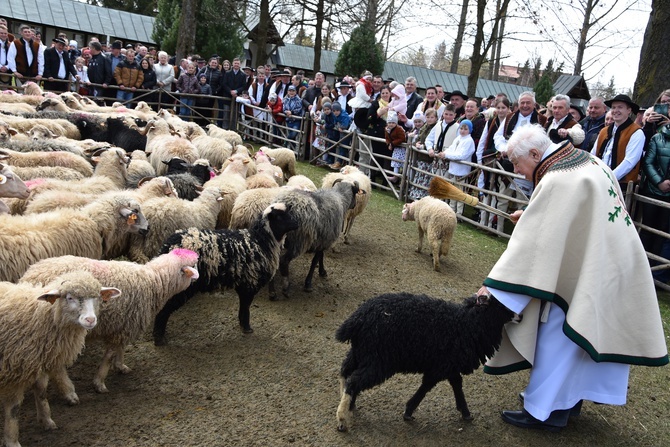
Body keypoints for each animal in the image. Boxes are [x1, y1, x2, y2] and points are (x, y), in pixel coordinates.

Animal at [0, 272, 119, 447]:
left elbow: (41, 391)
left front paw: (46, 421)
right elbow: (13, 409)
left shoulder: (39, 362)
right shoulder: (15, 372)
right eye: (69, 298)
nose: (90, 320)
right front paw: (11, 441)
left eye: (98, 297)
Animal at [20, 252, 200, 396]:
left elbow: (121, 348)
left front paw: (121, 366)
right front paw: (99, 382)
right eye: (192, 266)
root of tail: (30, 274)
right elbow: (109, 355)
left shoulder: (124, 325)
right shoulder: (121, 326)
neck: (153, 281)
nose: (198, 278)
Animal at [154, 203, 300, 346]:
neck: (260, 241)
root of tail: (169, 244)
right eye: (280, 217)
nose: (297, 223)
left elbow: (243, 306)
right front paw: (247, 328)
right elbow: (246, 307)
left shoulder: (243, 284)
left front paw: (242, 324)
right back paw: (159, 339)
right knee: (164, 309)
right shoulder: (250, 283)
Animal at [336, 292, 520, 432]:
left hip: (361, 352)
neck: (467, 323)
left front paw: (465, 411)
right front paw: (409, 410)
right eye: (503, 303)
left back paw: (350, 406)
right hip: (379, 359)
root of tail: (357, 319)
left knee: (346, 372)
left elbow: (456, 384)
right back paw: (342, 420)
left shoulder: (449, 364)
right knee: (353, 381)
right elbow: (427, 386)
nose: (521, 316)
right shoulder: (442, 366)